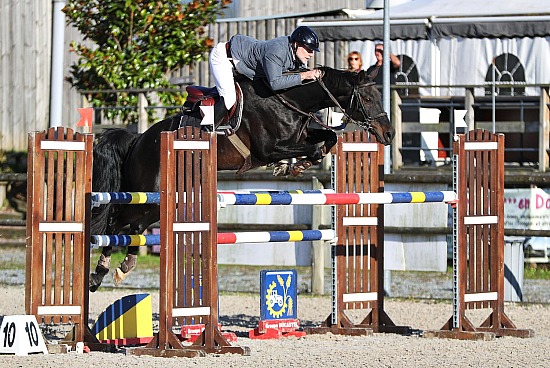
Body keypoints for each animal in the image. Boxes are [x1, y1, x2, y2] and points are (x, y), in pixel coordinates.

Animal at [90, 66, 394, 290]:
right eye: (368, 99)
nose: (388, 134)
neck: (289, 100)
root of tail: (138, 140)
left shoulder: (300, 135)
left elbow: (329, 138)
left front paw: (297, 165)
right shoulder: (269, 148)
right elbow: (314, 146)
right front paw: (291, 166)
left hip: (158, 201)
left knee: (134, 228)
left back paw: (123, 267)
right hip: (148, 197)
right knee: (116, 223)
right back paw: (98, 274)